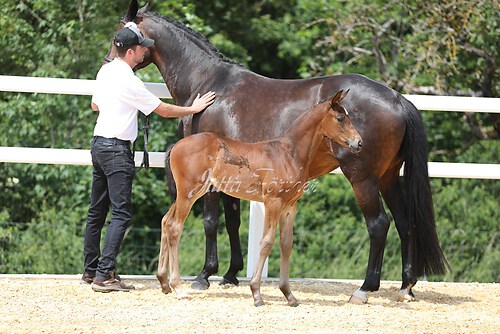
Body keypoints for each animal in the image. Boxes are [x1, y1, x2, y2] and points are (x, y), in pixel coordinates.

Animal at [156, 90, 360, 306]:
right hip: (189, 193)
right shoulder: (273, 202)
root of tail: (176, 145)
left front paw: (289, 295)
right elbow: (266, 242)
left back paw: (164, 283)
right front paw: (256, 293)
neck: (289, 153)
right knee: (174, 227)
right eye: (340, 118)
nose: (359, 142)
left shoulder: (290, 206)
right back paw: (178, 287)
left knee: (165, 221)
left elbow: (286, 244)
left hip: (187, 194)